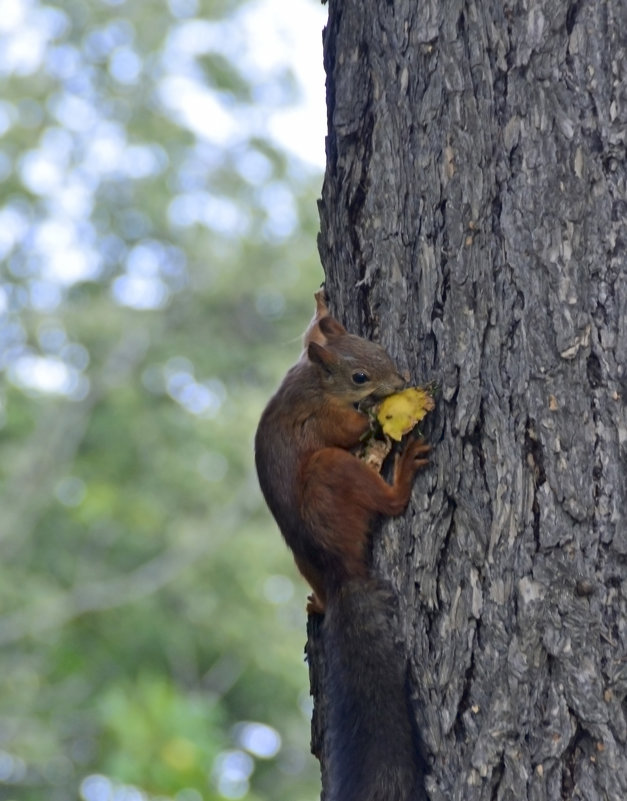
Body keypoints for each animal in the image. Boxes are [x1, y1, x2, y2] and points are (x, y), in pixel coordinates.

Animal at [255, 292, 432, 800]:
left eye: (380, 349)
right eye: (359, 377)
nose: (401, 382)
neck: (315, 383)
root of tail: (341, 572)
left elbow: (311, 333)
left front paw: (321, 310)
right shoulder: (329, 422)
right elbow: (357, 428)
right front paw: (385, 412)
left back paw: (316, 601)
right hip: (330, 472)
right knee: (388, 502)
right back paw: (403, 472)